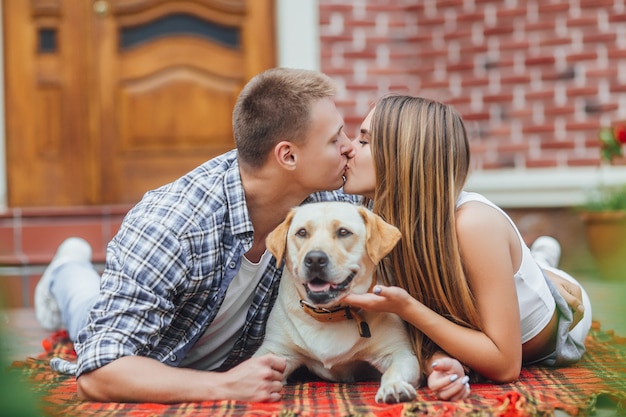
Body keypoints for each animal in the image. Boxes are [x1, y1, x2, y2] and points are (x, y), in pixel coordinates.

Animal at [254, 202, 420, 404]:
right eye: (302, 232)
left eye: (343, 232)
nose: (314, 259)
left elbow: (393, 370)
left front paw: (394, 385)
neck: (329, 314)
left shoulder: (399, 351)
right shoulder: (276, 350)